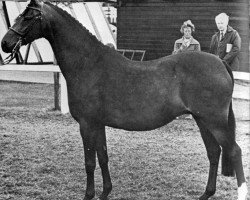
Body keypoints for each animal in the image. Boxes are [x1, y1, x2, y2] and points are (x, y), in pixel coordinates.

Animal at [0, 0, 247, 199]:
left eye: (28, 16)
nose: (5, 43)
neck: (88, 64)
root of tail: (219, 62)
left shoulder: (87, 124)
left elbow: (89, 162)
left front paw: (89, 195)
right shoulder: (98, 124)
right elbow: (103, 157)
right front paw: (105, 192)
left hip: (214, 121)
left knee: (234, 151)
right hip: (202, 120)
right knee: (214, 152)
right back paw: (206, 193)